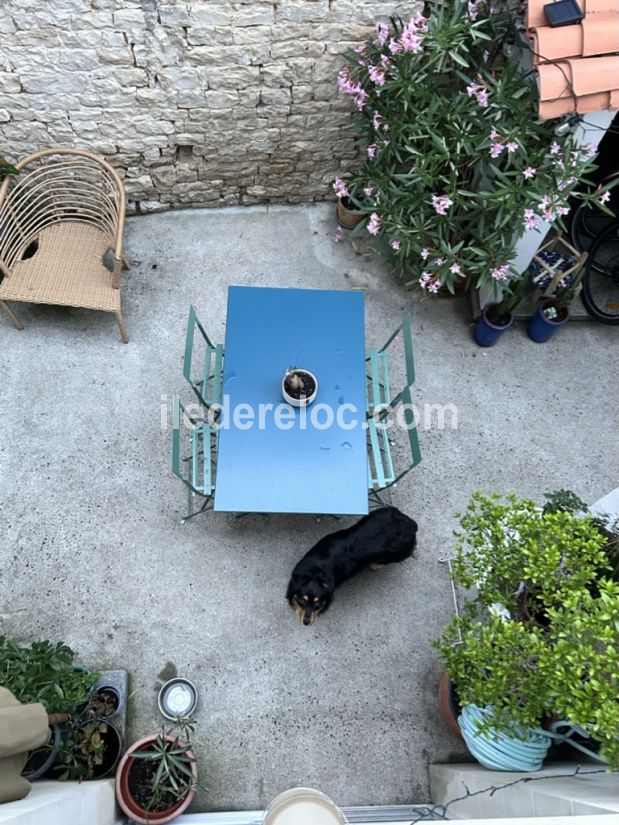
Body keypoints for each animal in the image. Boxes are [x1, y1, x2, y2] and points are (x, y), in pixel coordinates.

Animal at [286, 508, 416, 624]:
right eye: (302, 600)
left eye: (317, 603)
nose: (306, 622)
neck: (317, 572)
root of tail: (412, 524)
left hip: (397, 556)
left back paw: (375, 565)